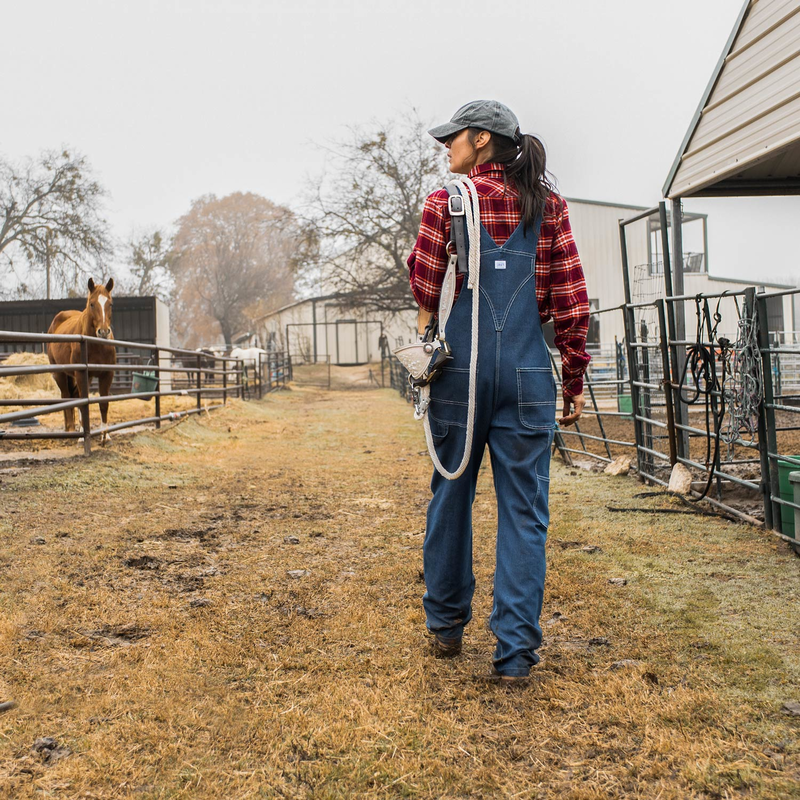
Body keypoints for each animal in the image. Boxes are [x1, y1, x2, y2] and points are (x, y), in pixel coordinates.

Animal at [47, 278, 116, 444]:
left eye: (110, 304)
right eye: (92, 304)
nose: (104, 331)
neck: (97, 345)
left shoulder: (107, 374)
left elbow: (103, 404)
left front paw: (106, 436)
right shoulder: (80, 374)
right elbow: (83, 404)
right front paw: (82, 437)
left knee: (74, 395)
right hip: (60, 374)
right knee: (67, 396)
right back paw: (71, 430)